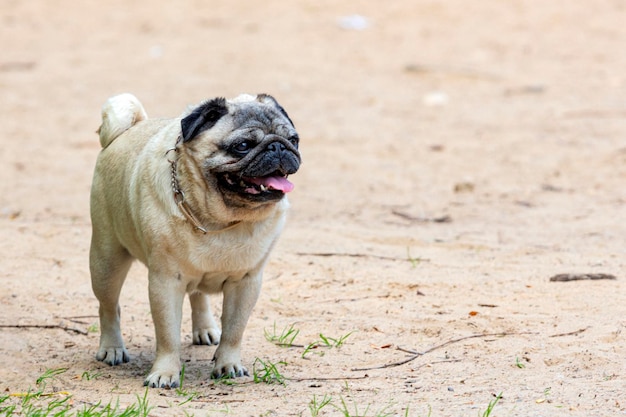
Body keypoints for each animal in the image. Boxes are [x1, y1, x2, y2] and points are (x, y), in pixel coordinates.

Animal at [89, 93, 302, 386]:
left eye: (294, 139)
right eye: (242, 146)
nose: (278, 147)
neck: (221, 221)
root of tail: (130, 127)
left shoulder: (246, 283)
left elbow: (234, 330)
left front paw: (228, 365)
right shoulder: (166, 282)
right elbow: (167, 334)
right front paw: (164, 373)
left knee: (198, 295)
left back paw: (205, 329)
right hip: (106, 262)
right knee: (108, 308)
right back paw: (111, 348)